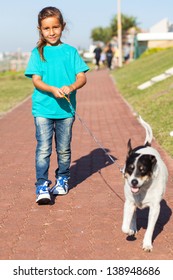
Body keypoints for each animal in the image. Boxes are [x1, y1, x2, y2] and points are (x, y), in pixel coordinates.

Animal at [121, 116, 168, 252]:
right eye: (130, 168)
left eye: (142, 169)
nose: (134, 182)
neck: (143, 189)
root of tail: (146, 145)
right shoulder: (129, 202)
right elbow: (124, 227)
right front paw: (130, 230)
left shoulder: (155, 208)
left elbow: (150, 228)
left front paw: (147, 244)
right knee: (133, 214)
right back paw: (132, 228)